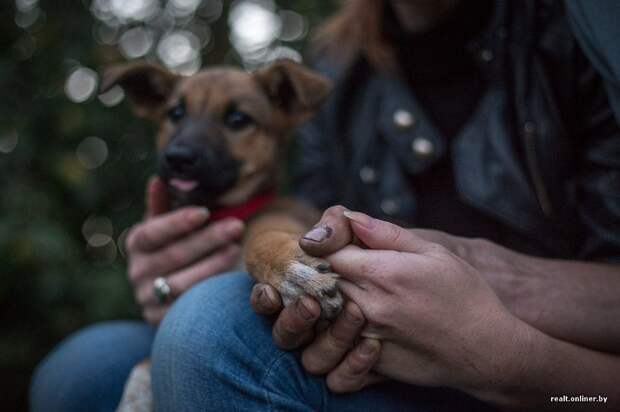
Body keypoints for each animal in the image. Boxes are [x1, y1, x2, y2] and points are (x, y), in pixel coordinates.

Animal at [103, 59, 344, 410]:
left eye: (238, 119)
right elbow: (141, 367)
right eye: (176, 113)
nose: (179, 158)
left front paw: (293, 273)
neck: (219, 212)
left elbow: (262, 240)